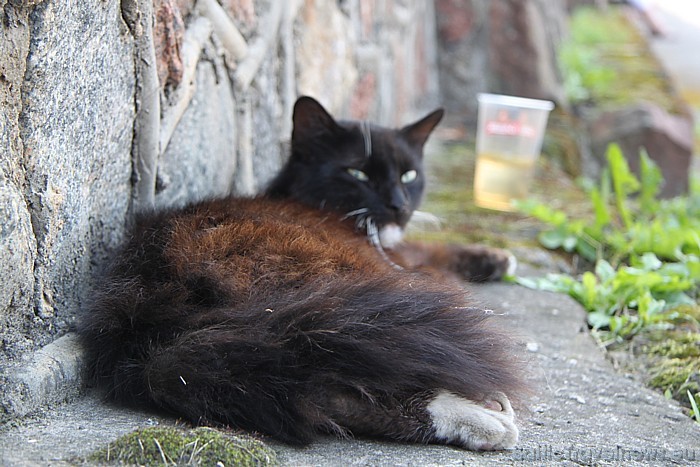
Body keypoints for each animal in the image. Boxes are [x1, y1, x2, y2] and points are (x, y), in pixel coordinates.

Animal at [78, 97, 524, 452]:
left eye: (409, 175)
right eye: (358, 173)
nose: (399, 205)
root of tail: (148, 290)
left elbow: (432, 246)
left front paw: (494, 258)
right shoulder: (403, 264)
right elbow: (429, 254)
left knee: (319, 388)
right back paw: (480, 417)